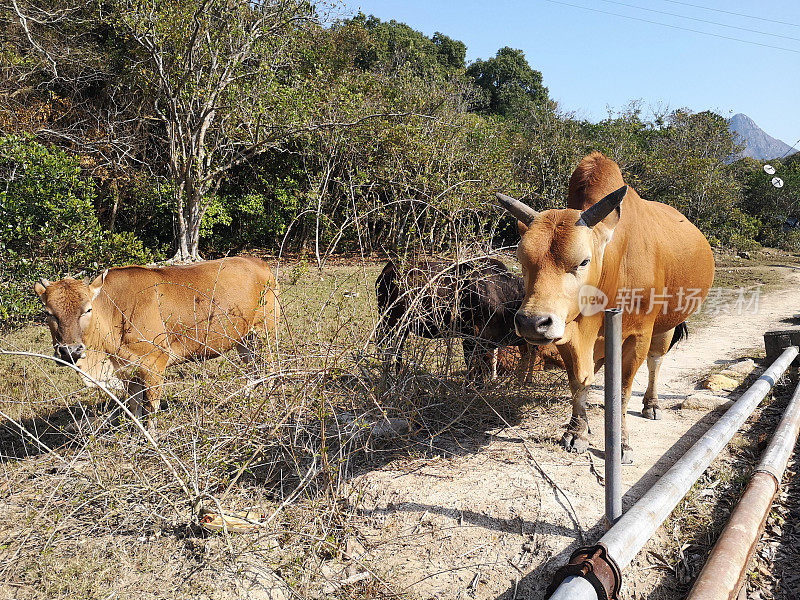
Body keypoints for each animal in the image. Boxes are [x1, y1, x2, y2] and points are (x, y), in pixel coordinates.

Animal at [35, 255, 282, 428]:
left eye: (87, 309)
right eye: (49, 313)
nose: (70, 351)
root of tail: (259, 262)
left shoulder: (154, 363)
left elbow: (151, 406)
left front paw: (152, 438)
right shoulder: (127, 369)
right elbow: (134, 406)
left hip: (265, 332)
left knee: (269, 368)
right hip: (244, 339)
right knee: (252, 369)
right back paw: (247, 399)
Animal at [496, 152, 716, 462]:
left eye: (584, 261)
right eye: (523, 261)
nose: (531, 323)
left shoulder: (638, 336)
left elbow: (622, 391)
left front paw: (621, 442)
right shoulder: (569, 333)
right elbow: (579, 382)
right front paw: (577, 432)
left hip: (666, 324)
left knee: (656, 360)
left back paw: (652, 404)